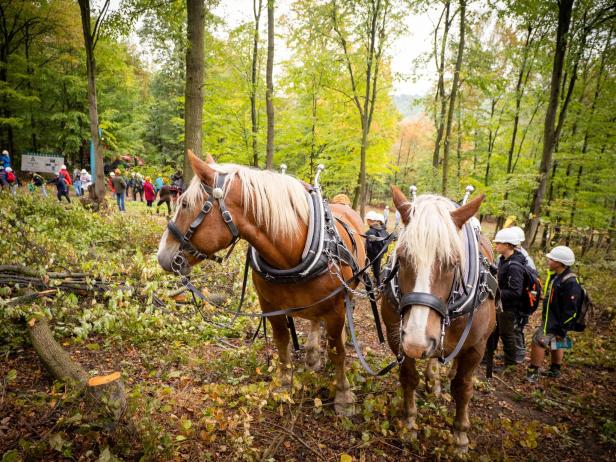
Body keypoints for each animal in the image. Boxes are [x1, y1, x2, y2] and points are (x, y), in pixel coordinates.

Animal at [159, 152, 368, 416]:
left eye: (185, 204)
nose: (162, 255)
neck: (293, 252)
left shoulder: (335, 310)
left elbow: (337, 351)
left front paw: (343, 395)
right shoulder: (270, 306)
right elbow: (281, 342)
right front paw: (284, 383)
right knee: (313, 321)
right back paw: (311, 354)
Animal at [382, 187, 498, 452]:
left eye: (453, 263)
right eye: (402, 257)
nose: (416, 342)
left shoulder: (476, 348)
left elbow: (463, 388)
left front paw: (460, 435)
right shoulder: (399, 339)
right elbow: (408, 378)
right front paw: (409, 423)